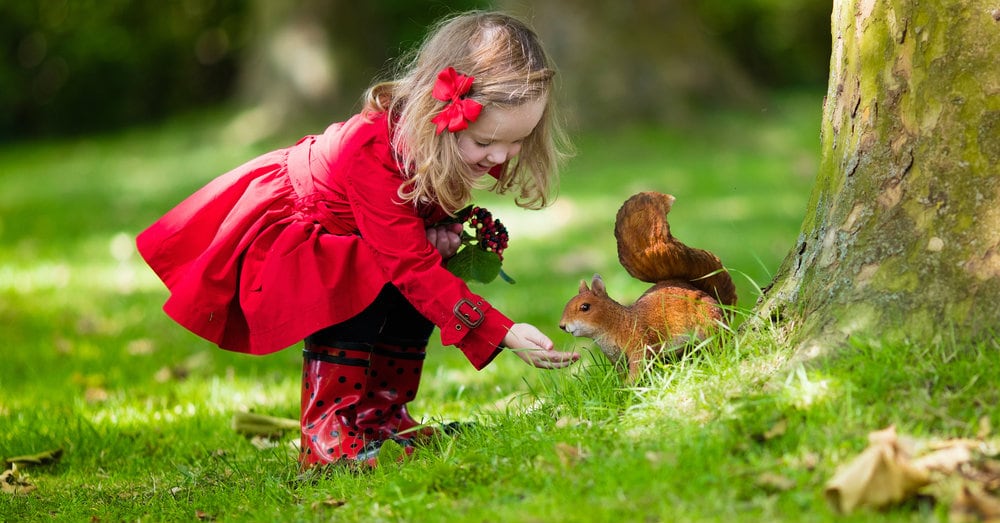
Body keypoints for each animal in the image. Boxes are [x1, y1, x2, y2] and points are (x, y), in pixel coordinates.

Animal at [560, 190, 740, 382]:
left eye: (585, 307)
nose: (562, 326)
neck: (616, 324)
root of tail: (722, 307)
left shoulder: (640, 342)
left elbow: (639, 366)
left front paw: (628, 385)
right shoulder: (616, 358)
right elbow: (621, 372)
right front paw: (619, 384)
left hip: (708, 323)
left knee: (718, 343)